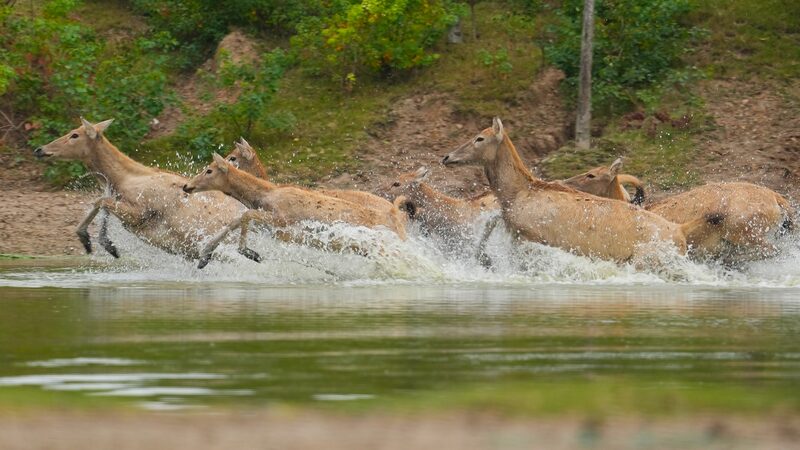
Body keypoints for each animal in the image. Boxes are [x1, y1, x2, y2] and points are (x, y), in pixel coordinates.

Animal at [33, 118, 245, 260]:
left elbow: (101, 201)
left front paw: (103, 244)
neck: (123, 179)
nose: (39, 149)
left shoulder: (141, 213)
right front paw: (91, 241)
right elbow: (102, 201)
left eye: (74, 135)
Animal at [182, 153, 407, 268]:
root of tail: (398, 218)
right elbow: (235, 220)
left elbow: (246, 215)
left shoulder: (282, 220)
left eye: (209, 170)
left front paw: (249, 252)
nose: (186, 186)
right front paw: (204, 256)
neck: (263, 196)